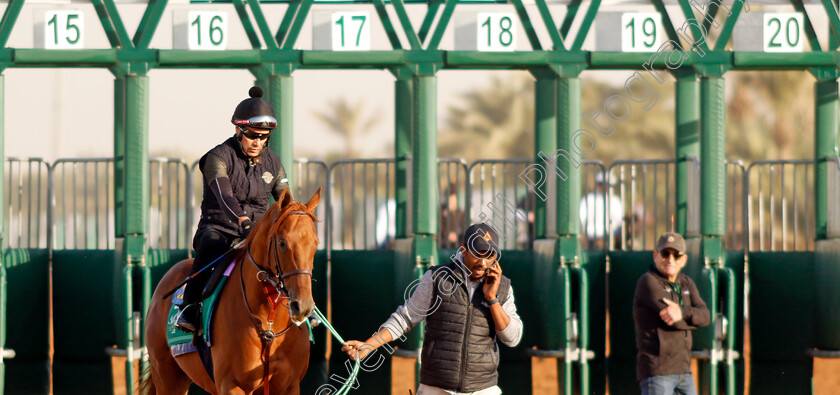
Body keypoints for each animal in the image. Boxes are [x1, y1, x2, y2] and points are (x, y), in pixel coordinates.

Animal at [143, 189, 320, 395]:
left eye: (315, 243)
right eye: (282, 242)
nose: (303, 306)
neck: (269, 322)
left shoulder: (289, 386)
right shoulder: (232, 385)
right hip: (167, 376)